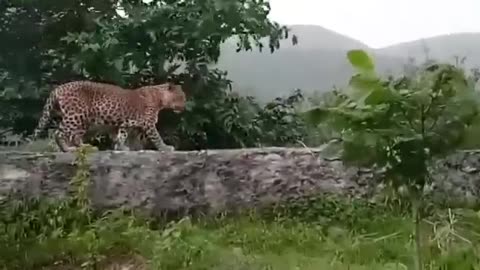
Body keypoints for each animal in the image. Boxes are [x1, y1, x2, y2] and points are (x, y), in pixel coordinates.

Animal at [31, 79, 186, 152]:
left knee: (74, 136)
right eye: (181, 97)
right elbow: (157, 138)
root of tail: (57, 88)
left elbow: (123, 136)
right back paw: (68, 149)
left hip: (83, 119)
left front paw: (125, 148)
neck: (160, 98)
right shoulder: (148, 123)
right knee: (59, 133)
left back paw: (84, 147)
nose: (184, 106)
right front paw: (166, 148)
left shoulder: (127, 124)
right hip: (76, 115)